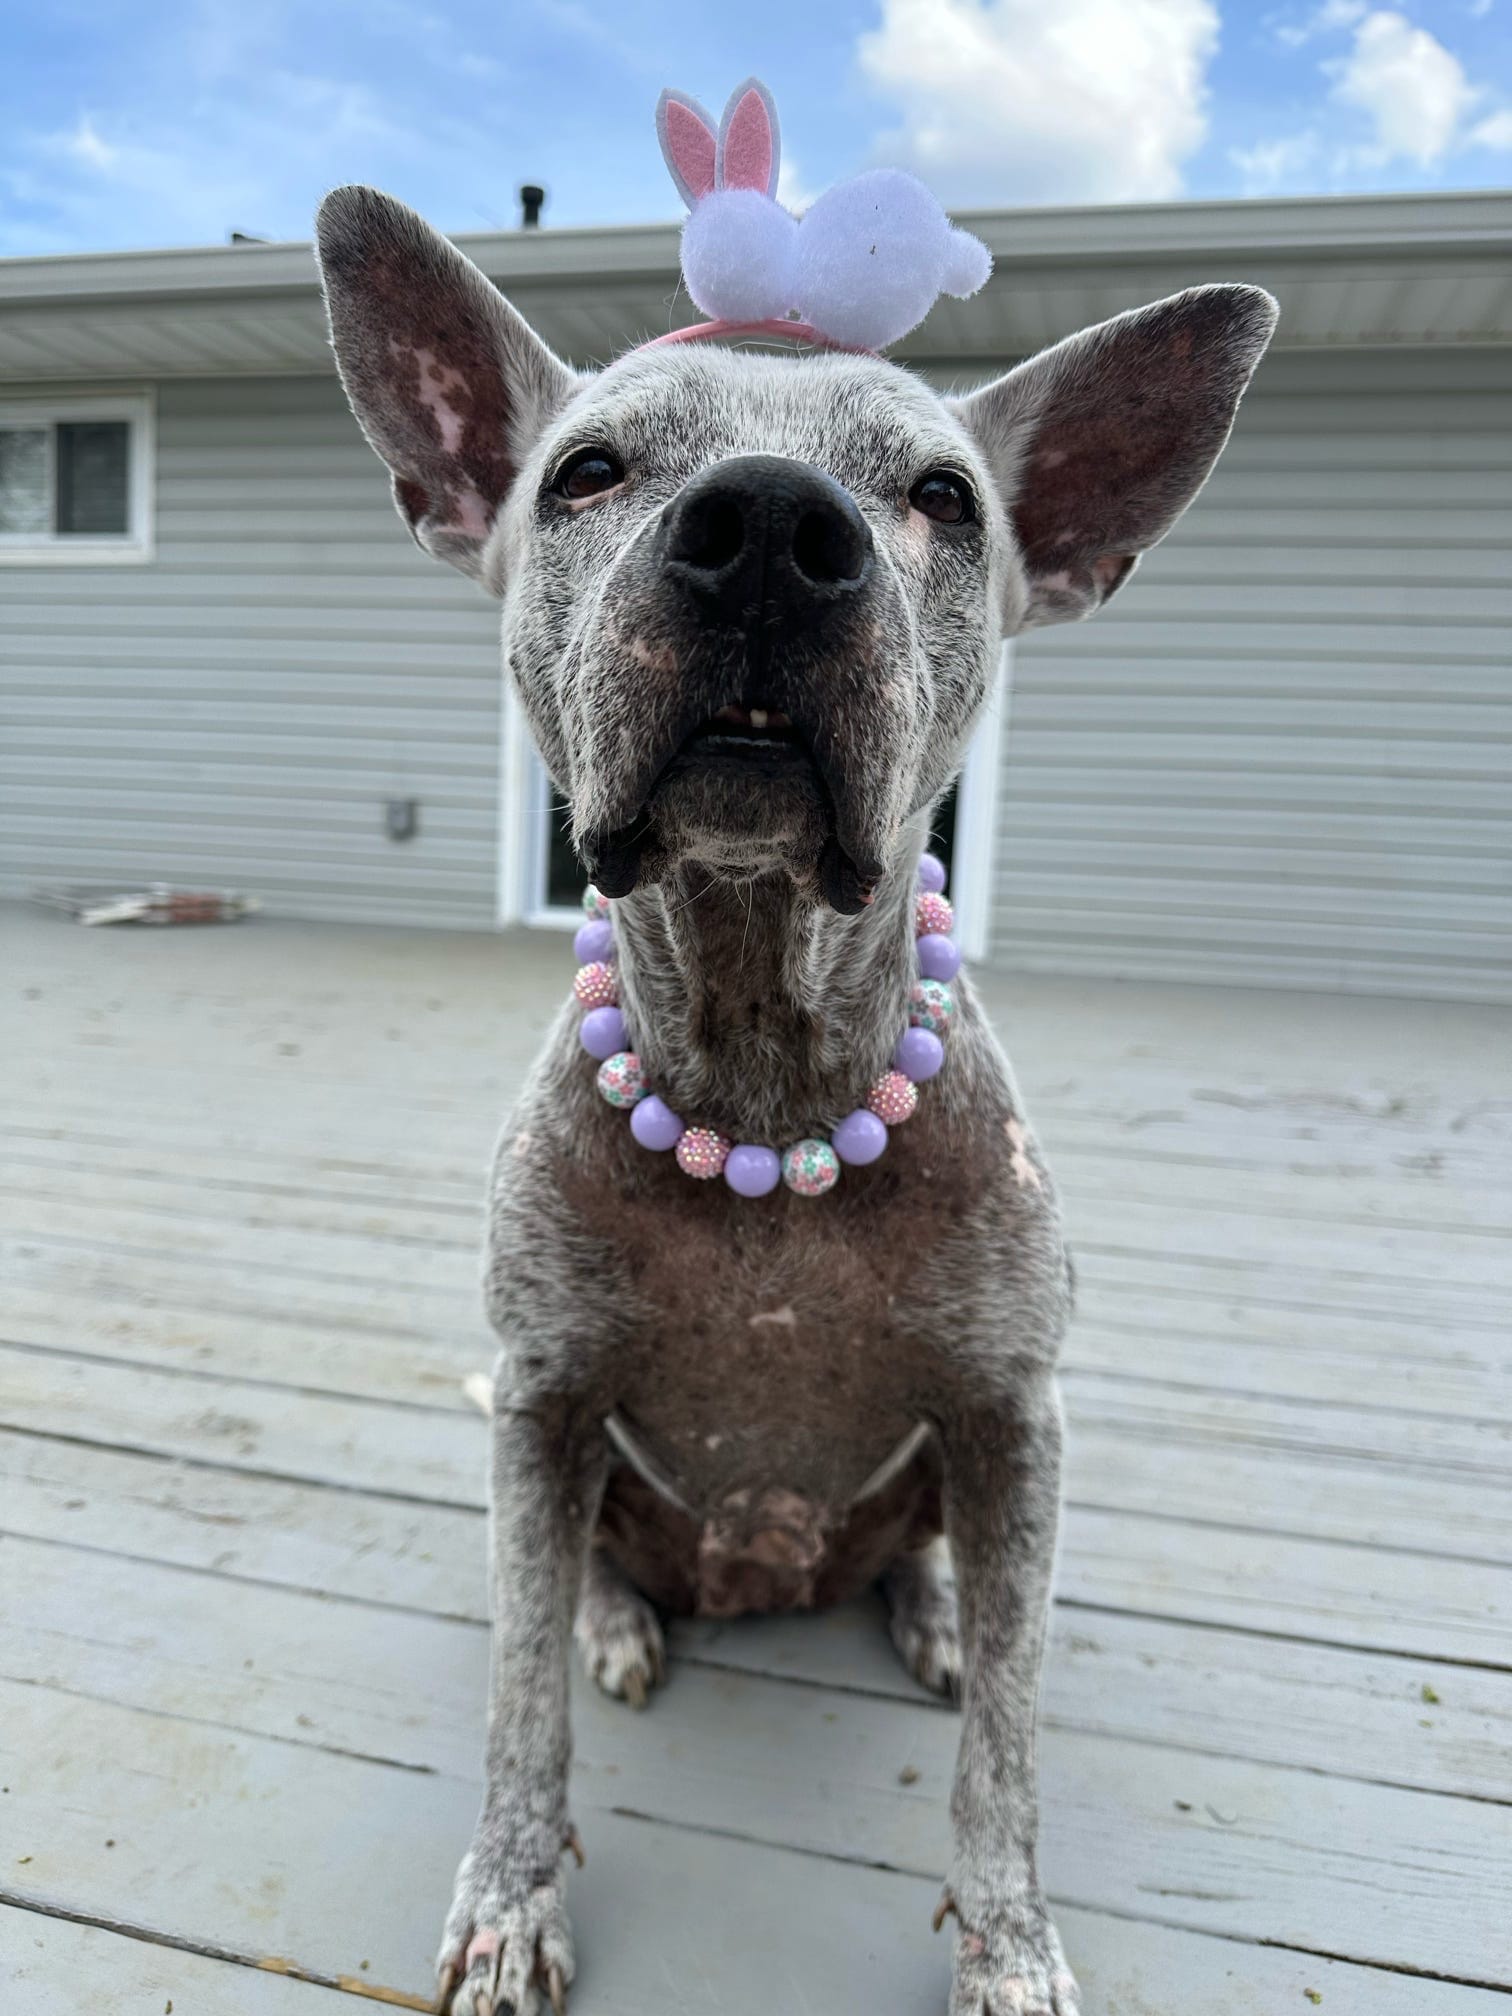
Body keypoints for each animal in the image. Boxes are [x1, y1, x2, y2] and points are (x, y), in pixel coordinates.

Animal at [316, 177, 1282, 2016]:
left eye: (942, 498)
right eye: (587, 471)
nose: (767, 523)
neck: (765, 1076)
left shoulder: (1014, 1413)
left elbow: (1007, 1754)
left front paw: (1009, 1948)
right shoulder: (541, 1399)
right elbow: (519, 1703)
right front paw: (512, 1899)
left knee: (936, 1568)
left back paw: (932, 1612)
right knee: (590, 1569)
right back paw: (624, 1617)